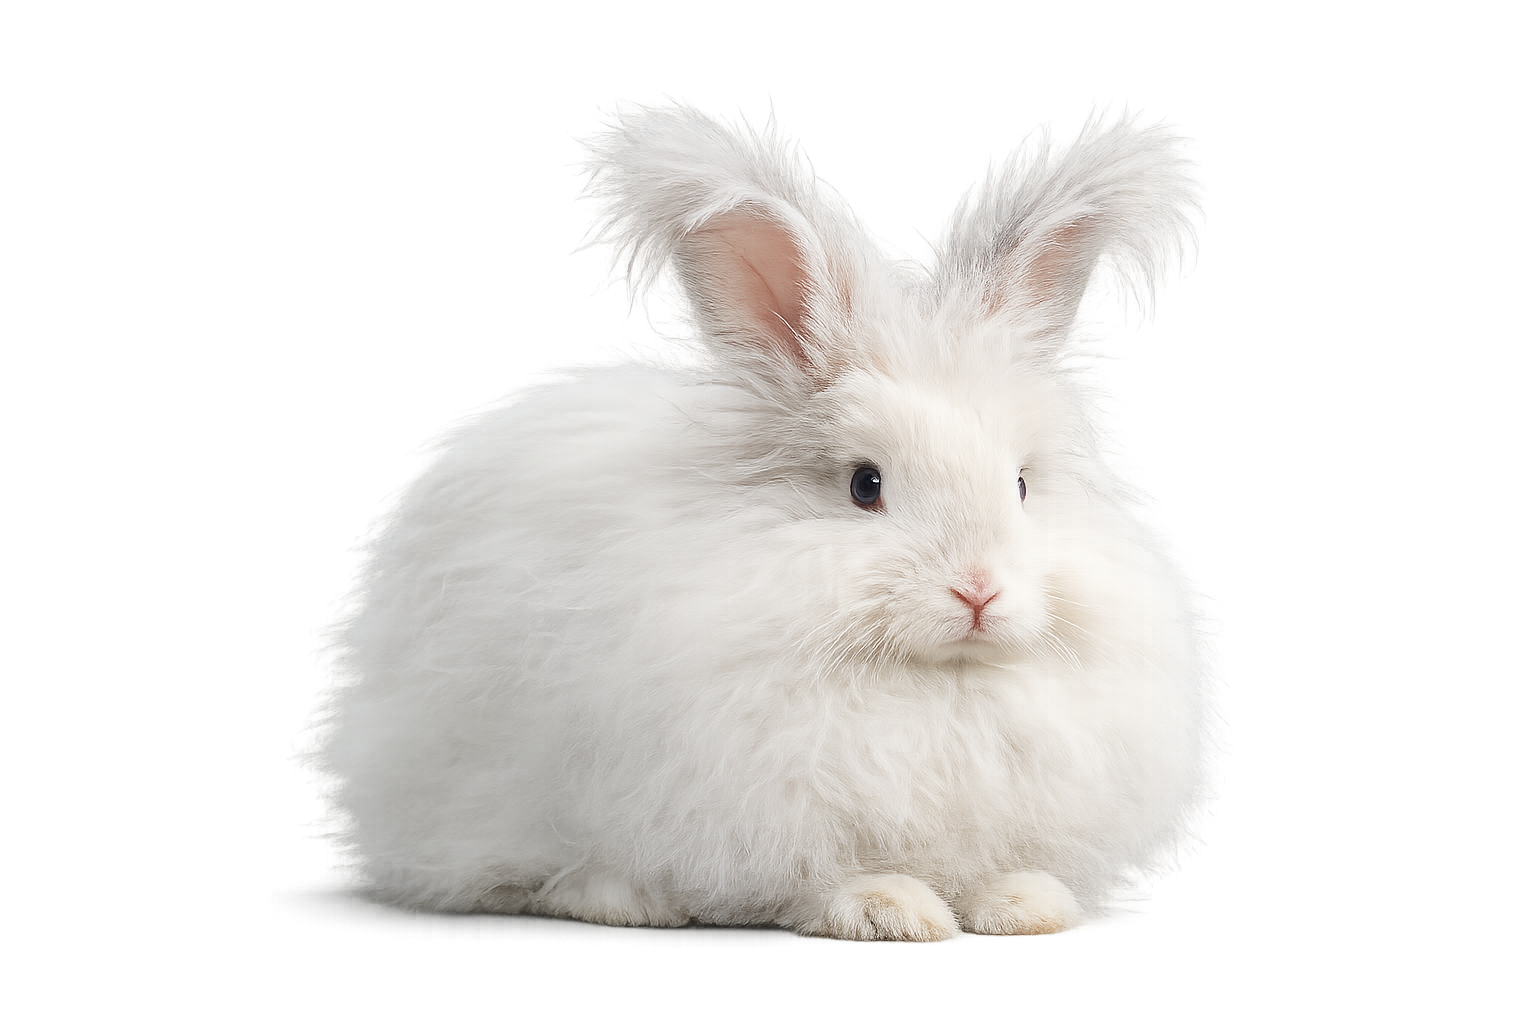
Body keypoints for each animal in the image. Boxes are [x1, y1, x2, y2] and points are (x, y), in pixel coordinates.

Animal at [320, 114, 1202, 941]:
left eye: (1020, 485)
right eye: (865, 485)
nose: (979, 590)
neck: (935, 683)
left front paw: (1026, 906)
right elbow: (818, 877)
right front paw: (891, 910)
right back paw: (625, 904)